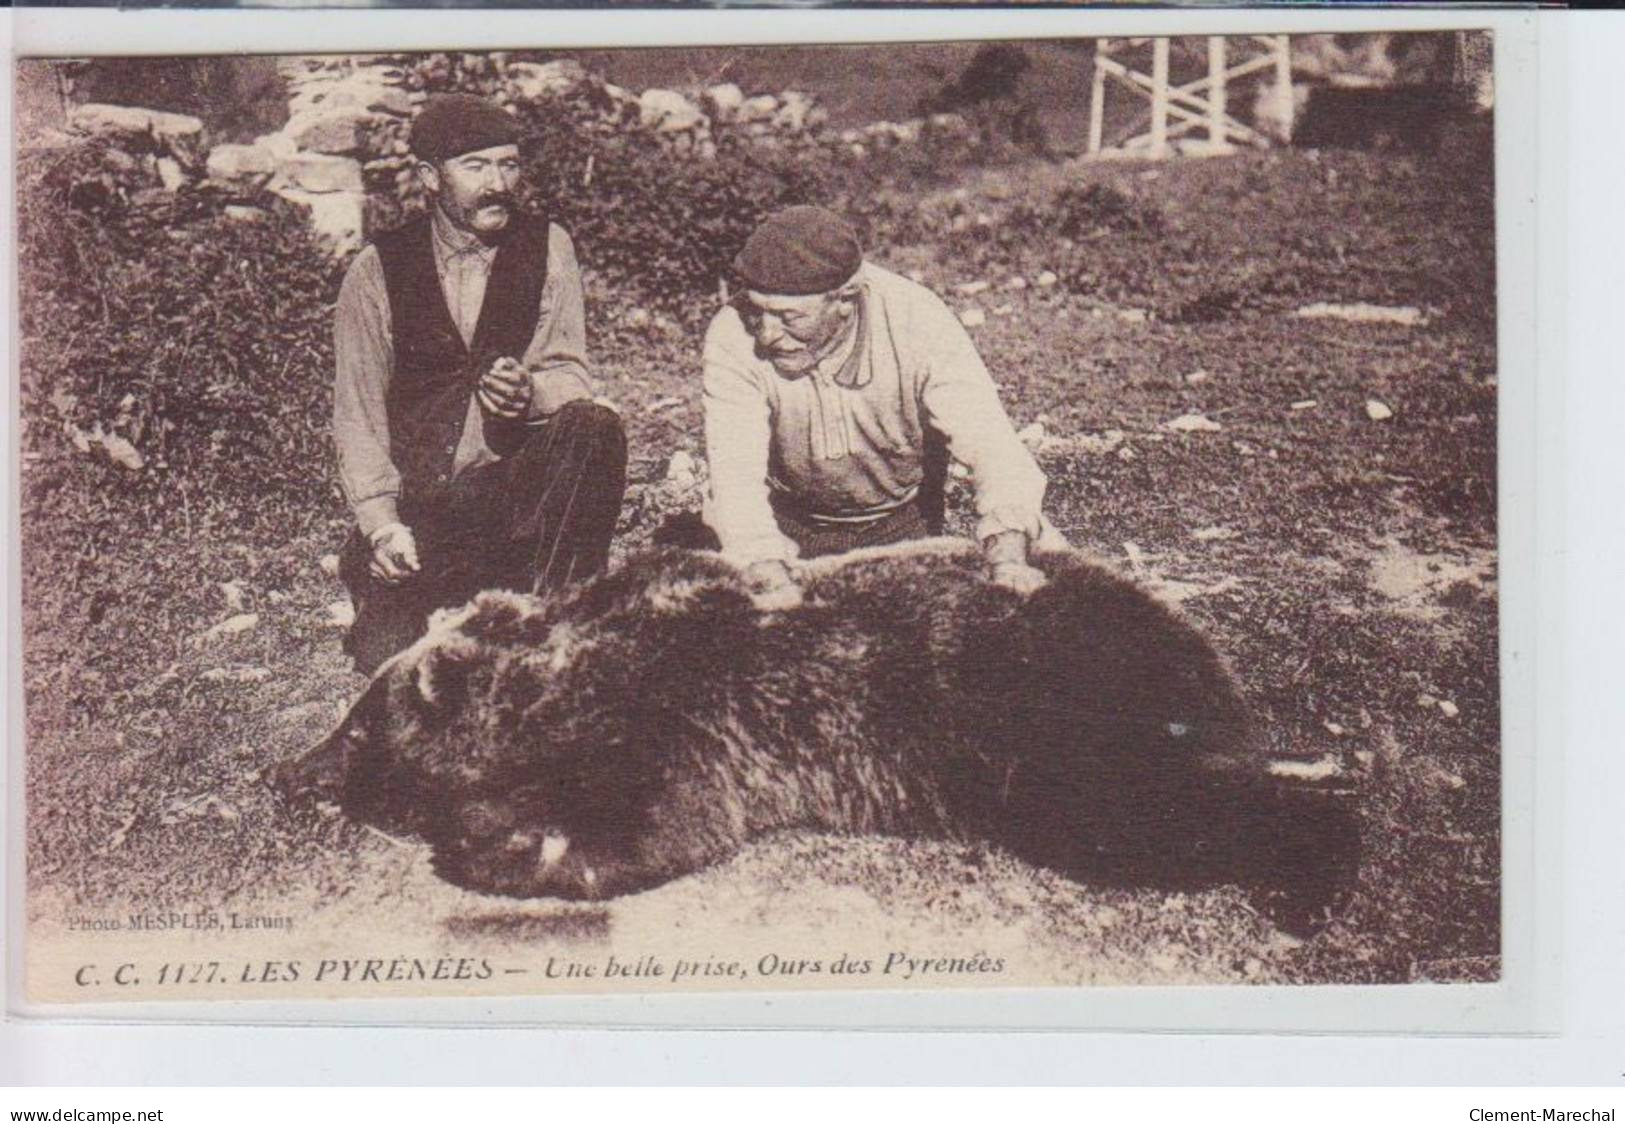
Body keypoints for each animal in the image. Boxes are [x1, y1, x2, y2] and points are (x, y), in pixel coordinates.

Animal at [276, 542, 1358, 929]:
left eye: (357, 724)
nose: (290, 768)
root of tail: (1192, 643)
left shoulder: (692, 708)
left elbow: (645, 819)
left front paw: (487, 841)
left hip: (1052, 712)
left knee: (1156, 810)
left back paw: (1308, 878)